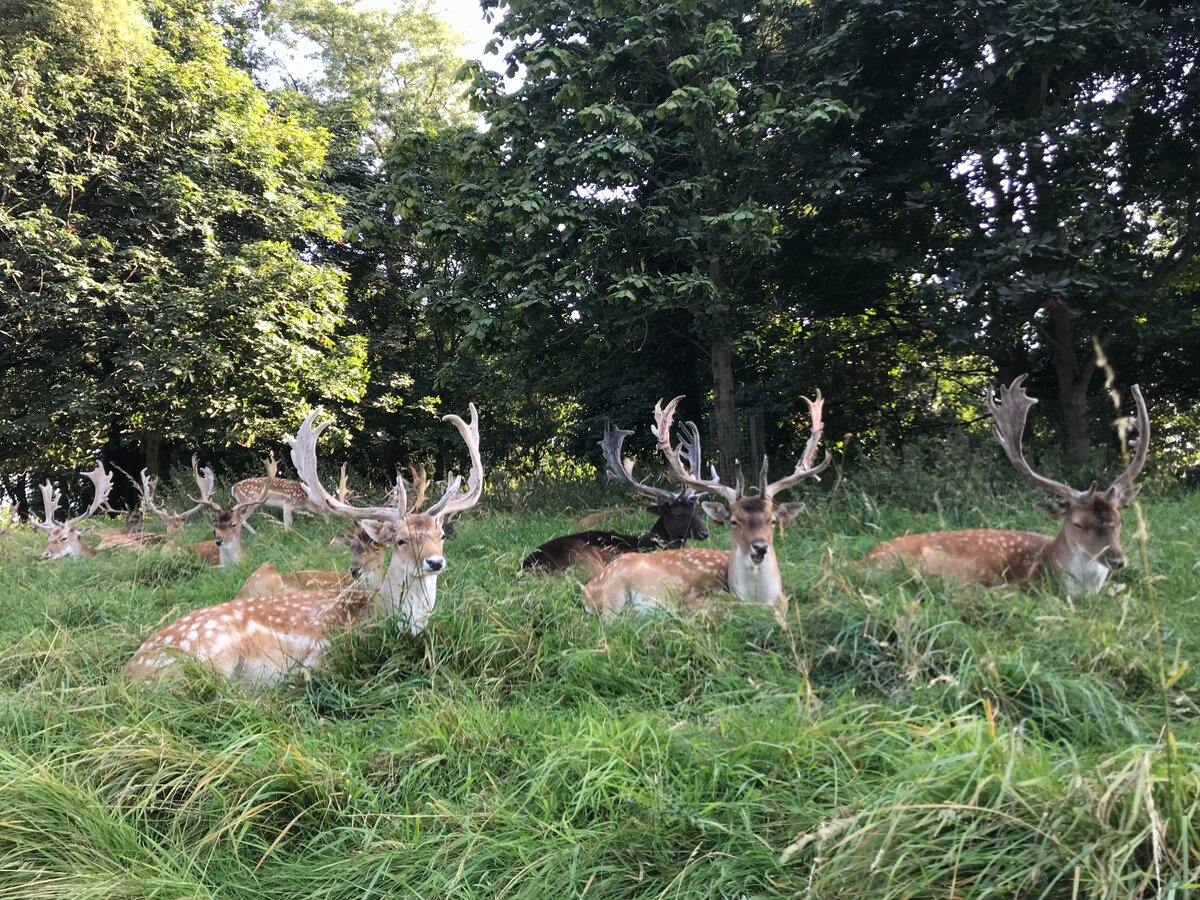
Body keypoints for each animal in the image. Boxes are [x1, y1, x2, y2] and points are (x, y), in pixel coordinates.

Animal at [123, 408, 482, 681]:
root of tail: (130, 673)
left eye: (441, 536)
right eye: (401, 540)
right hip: (207, 655)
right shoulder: (325, 652)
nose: (435, 562)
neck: (379, 614)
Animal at [583, 393, 835, 619]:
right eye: (733, 521)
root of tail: (587, 590)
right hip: (614, 591)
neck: (760, 600)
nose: (760, 547)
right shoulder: (693, 602)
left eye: (773, 520)